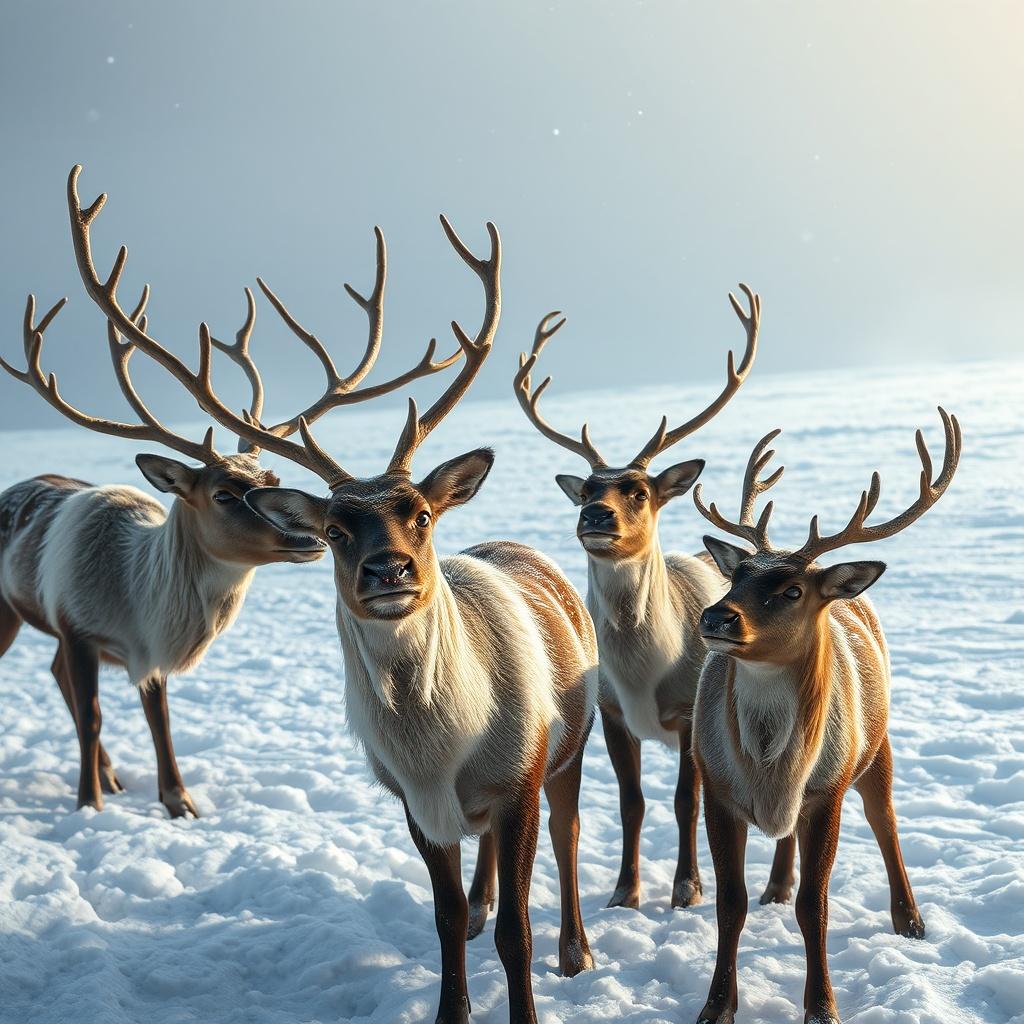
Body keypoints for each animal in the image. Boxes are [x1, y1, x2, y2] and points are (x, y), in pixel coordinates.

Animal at [0, 165, 462, 818]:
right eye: (223, 493)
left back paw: (114, 774)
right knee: (65, 684)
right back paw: (100, 779)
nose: (308, 539)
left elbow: (159, 718)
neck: (136, 591)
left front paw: (179, 801)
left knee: (55, 674)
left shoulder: (149, 649)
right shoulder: (76, 624)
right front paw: (87, 804)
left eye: (270, 483)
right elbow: (91, 715)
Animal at [239, 221, 600, 1024]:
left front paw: (528, 1001)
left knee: (568, 834)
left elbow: (518, 932)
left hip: (572, 741)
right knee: (482, 872)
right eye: (334, 531)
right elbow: (445, 918)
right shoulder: (410, 801)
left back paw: (577, 950)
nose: (389, 571)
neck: (443, 748)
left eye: (422, 514)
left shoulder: (522, 776)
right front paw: (451, 1007)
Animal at [509, 286, 790, 915]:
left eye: (638, 489)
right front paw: (624, 891)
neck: (646, 675)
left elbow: (686, 800)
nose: (596, 516)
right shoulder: (612, 713)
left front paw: (687, 887)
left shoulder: (688, 714)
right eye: (586, 491)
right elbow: (631, 802)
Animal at [690, 410, 960, 1024]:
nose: (716, 616)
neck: (769, 764)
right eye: (737, 574)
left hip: (875, 744)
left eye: (792, 589)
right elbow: (729, 904)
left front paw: (822, 1005)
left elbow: (816, 906)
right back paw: (776, 885)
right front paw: (717, 1005)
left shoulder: (827, 789)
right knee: (784, 839)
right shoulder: (715, 784)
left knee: (887, 820)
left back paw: (910, 919)